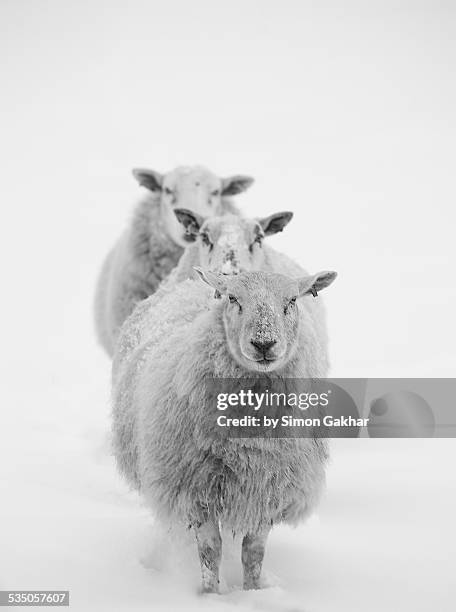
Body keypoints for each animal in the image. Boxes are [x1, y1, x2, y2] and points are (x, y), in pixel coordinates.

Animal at [112, 268, 336, 592]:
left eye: (292, 300)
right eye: (233, 298)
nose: (264, 343)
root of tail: (189, 283)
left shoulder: (267, 488)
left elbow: (253, 553)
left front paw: (253, 591)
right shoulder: (195, 489)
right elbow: (210, 550)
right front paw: (210, 593)